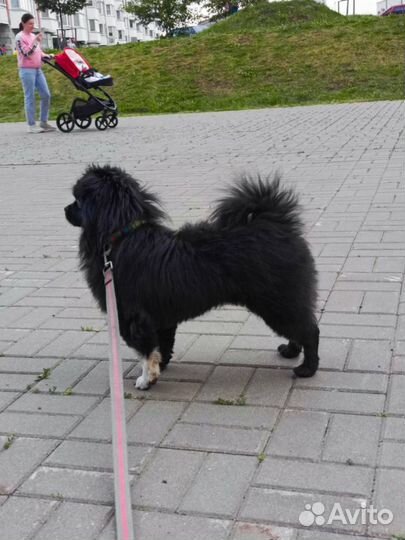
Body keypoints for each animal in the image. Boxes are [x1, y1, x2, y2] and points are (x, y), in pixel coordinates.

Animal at [65, 165, 318, 388]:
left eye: (77, 200)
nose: (65, 210)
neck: (122, 235)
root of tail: (277, 224)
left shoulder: (133, 317)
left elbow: (145, 352)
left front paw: (147, 380)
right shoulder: (160, 318)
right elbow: (162, 345)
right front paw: (162, 366)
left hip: (278, 302)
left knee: (310, 330)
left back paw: (307, 368)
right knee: (300, 329)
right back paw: (290, 351)